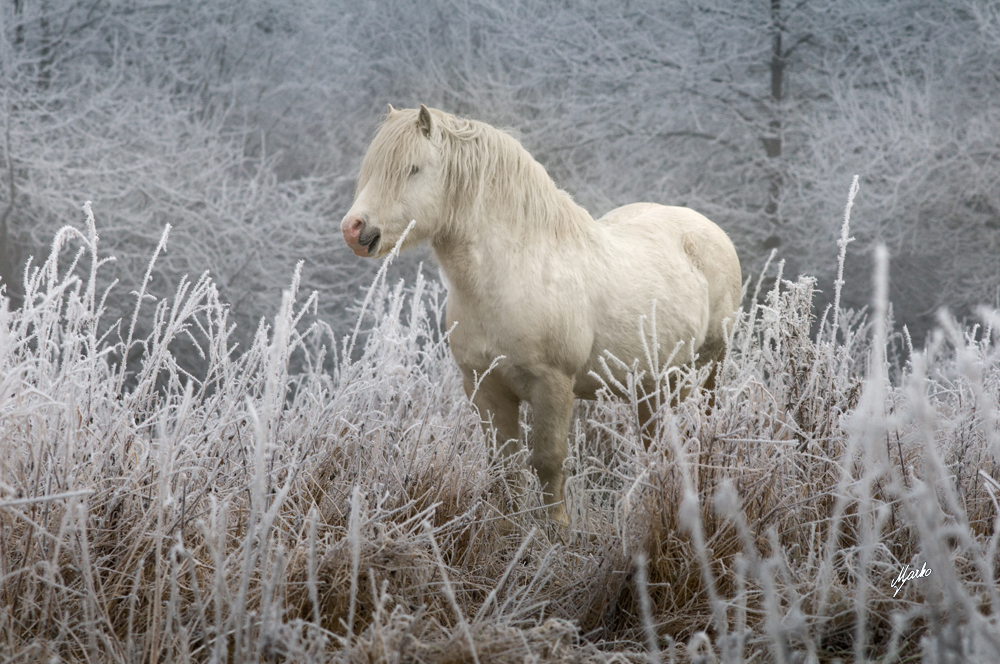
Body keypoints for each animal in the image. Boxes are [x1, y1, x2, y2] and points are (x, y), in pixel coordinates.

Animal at [344, 104, 744, 520]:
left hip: (705, 373)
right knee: (654, 445)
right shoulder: (484, 386)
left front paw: (557, 531)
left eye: (414, 169)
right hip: (653, 386)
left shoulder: (552, 386)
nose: (354, 229)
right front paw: (506, 529)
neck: (514, 272)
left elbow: (548, 464)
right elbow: (503, 468)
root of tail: (709, 231)